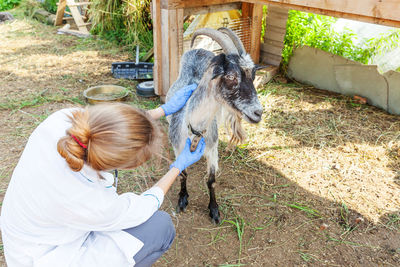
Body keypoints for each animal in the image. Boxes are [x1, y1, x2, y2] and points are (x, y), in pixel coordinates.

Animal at [166, 27, 262, 224]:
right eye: (231, 76)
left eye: (253, 76)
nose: (258, 112)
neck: (194, 128)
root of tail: (198, 49)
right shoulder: (178, 147)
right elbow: (182, 173)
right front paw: (183, 199)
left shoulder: (212, 148)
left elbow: (211, 180)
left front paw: (214, 209)